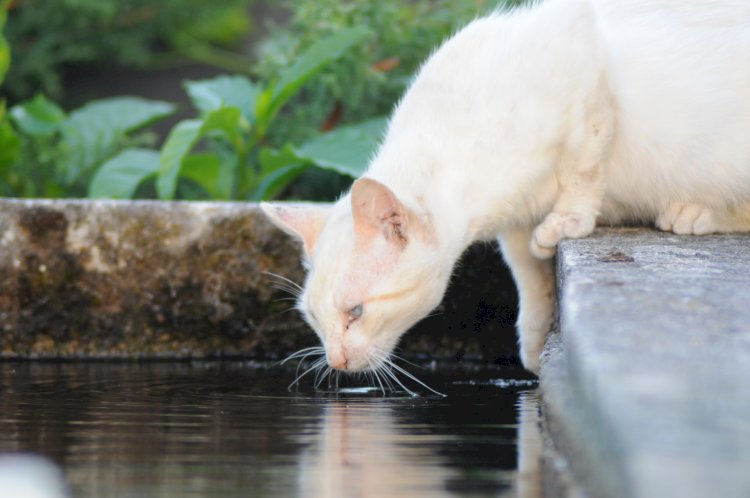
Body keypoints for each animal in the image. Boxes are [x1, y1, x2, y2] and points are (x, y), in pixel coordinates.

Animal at [262, 0, 750, 374]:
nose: (336, 362)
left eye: (355, 313)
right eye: (314, 319)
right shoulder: (515, 226)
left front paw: (568, 221)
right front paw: (534, 348)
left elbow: (583, 167)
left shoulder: (584, 65)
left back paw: (693, 212)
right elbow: (530, 283)